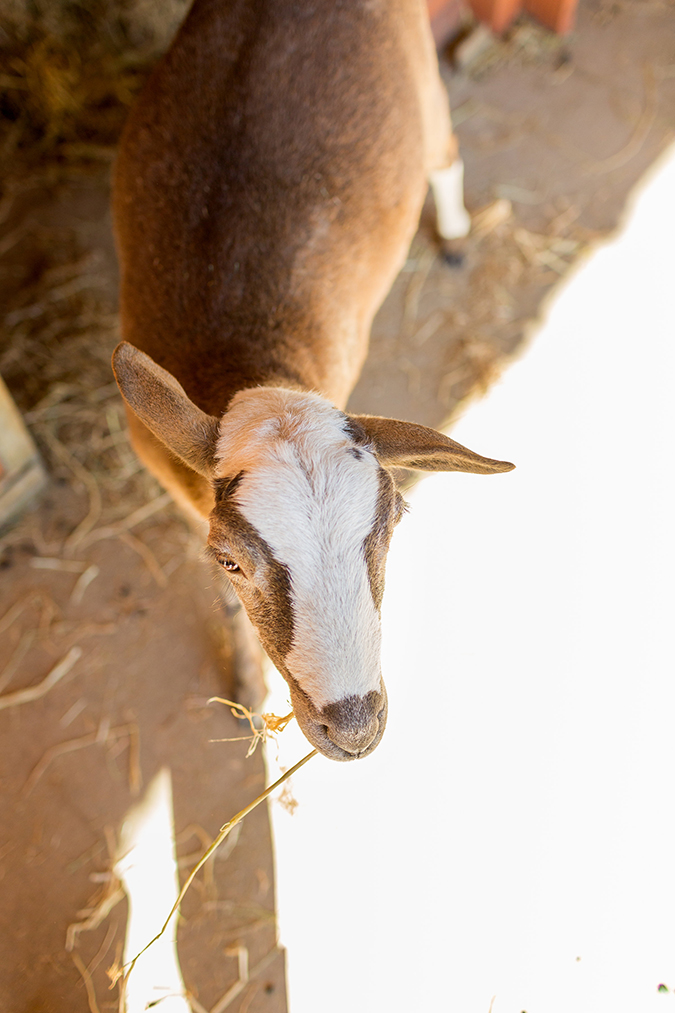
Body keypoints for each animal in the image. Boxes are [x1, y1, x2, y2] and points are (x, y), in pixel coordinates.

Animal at [110, 0, 512, 761]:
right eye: (231, 562)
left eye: (397, 522)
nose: (352, 727)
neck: (249, 357)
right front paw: (243, 679)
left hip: (421, 80)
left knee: (444, 150)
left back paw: (452, 239)